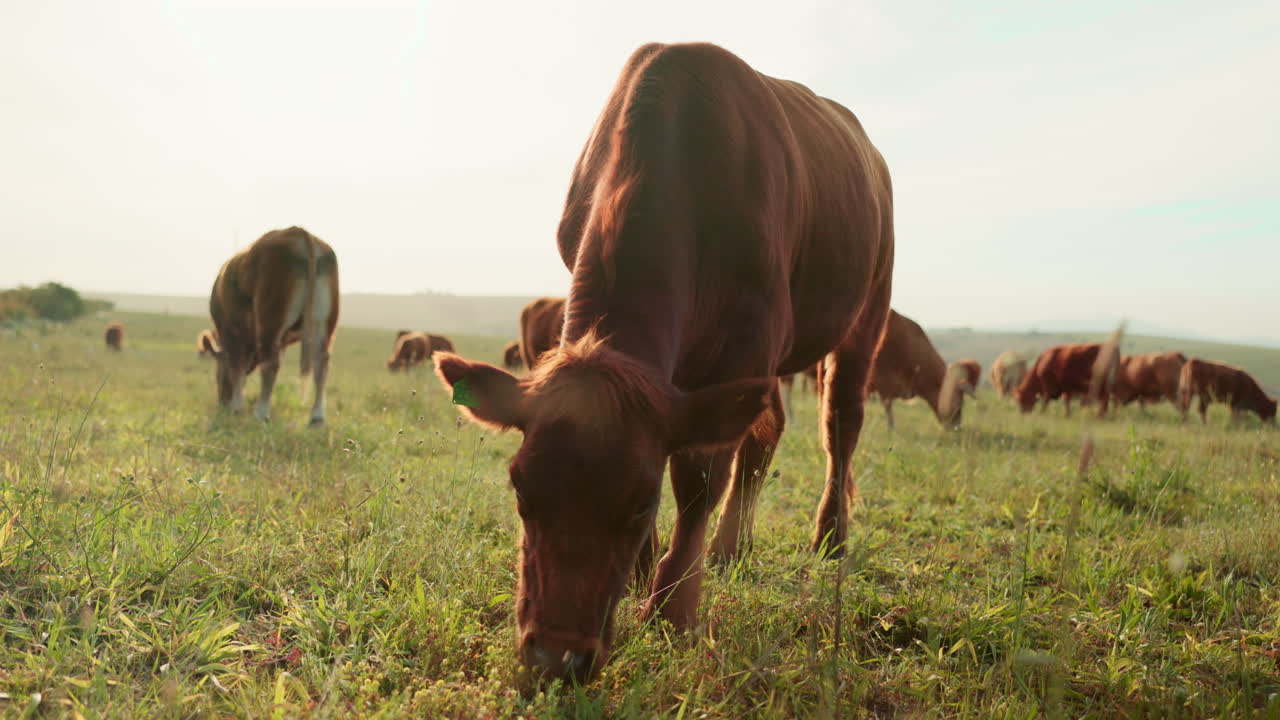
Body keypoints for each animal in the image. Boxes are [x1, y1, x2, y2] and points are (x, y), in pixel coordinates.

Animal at [206, 226, 339, 426]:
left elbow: (237, 368)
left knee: (270, 364)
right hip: (323, 324)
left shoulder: (230, 331)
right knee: (321, 364)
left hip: (270, 319)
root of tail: (298, 232)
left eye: (217, 369)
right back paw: (316, 418)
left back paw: (261, 413)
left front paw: (236, 407)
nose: (222, 400)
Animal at [432, 43, 894, 680]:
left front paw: (673, 607)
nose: (556, 657)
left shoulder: (750, 339)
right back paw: (731, 549)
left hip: (866, 309)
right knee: (766, 430)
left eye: (641, 501)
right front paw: (644, 573)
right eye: (521, 492)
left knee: (840, 424)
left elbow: (699, 475)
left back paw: (829, 535)